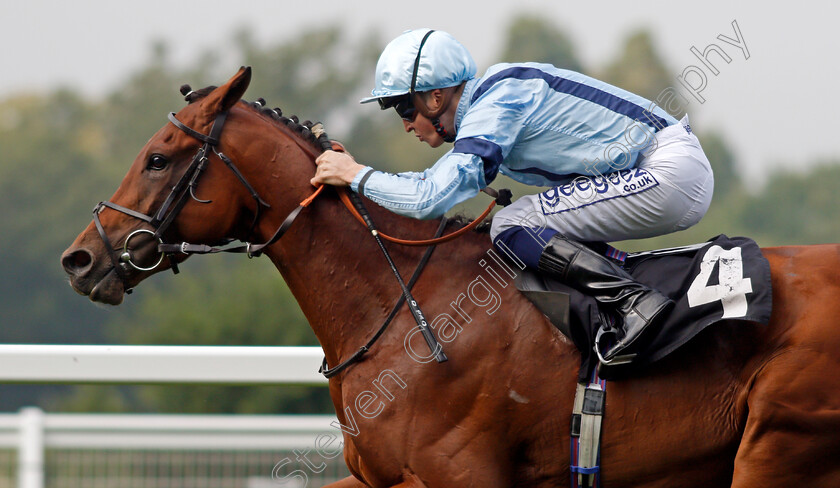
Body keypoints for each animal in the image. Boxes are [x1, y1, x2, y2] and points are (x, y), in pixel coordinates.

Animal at [62, 66, 840, 486]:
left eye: (158, 158)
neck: (401, 303)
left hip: (779, 446)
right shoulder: (382, 476)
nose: (81, 258)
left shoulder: (461, 473)